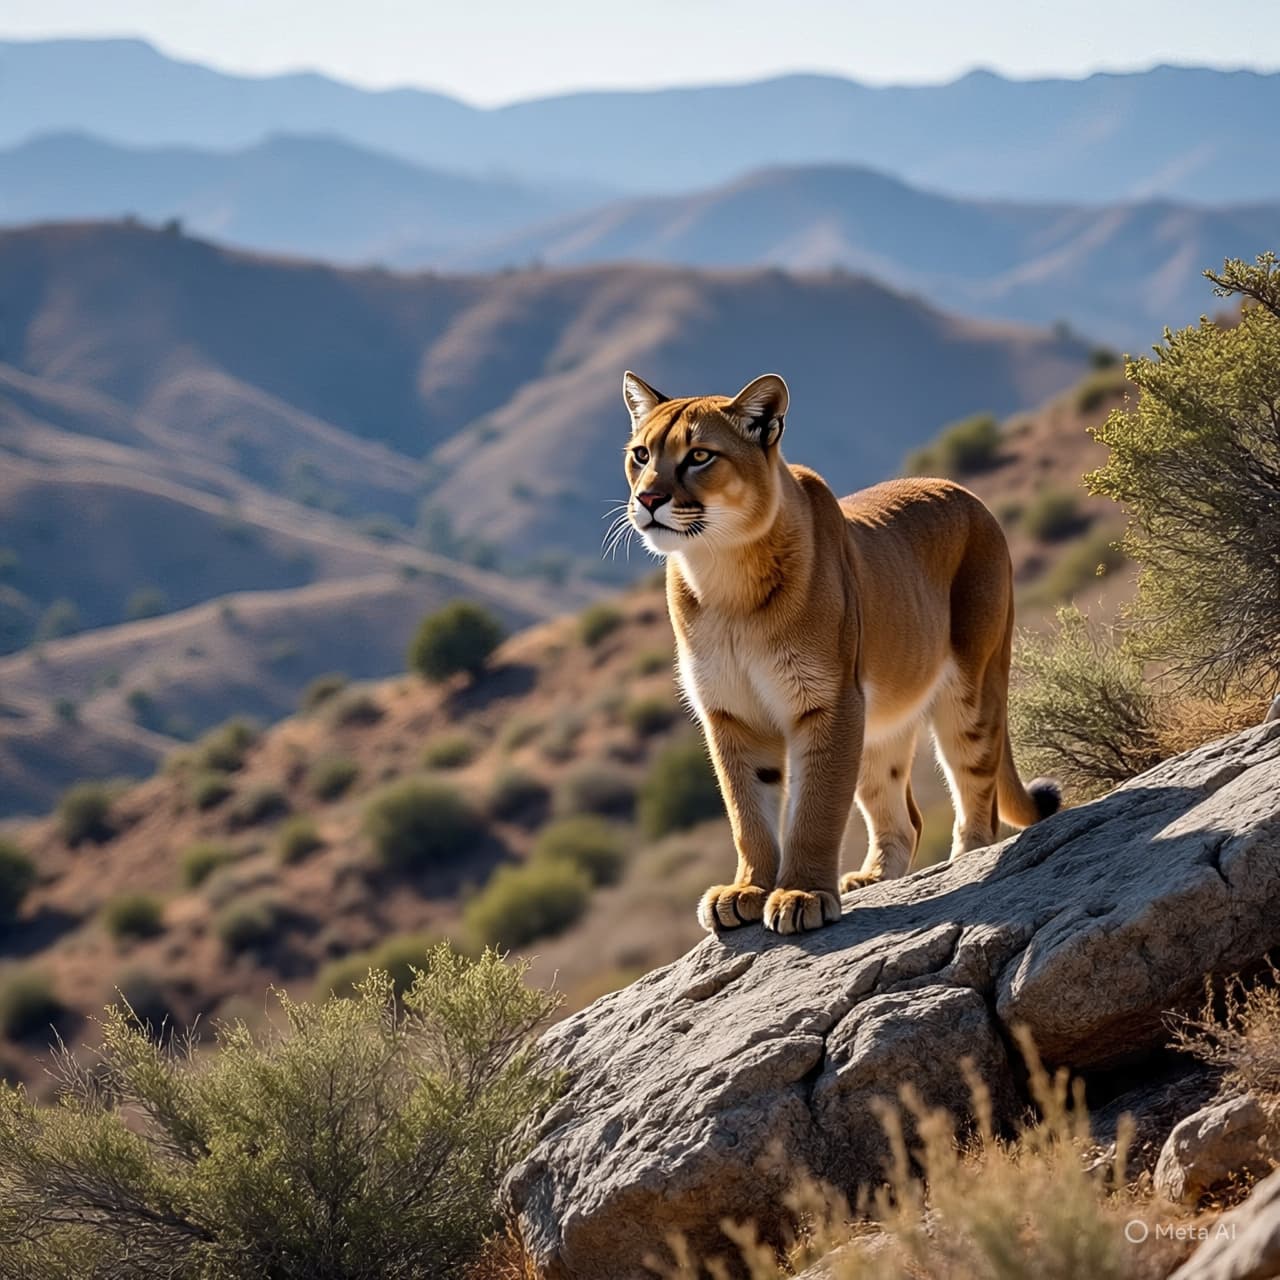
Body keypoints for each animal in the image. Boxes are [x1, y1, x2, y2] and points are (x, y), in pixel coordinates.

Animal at [622, 370, 1060, 935]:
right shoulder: (731, 712)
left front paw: (802, 895)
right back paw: (871, 879)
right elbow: (747, 810)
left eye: (699, 456)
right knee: (904, 815)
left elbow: (817, 809)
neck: (723, 575)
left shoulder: (828, 701)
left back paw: (965, 861)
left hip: (972, 686)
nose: (649, 498)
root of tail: (964, 492)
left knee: (977, 792)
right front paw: (746, 890)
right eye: (640, 454)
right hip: (878, 723)